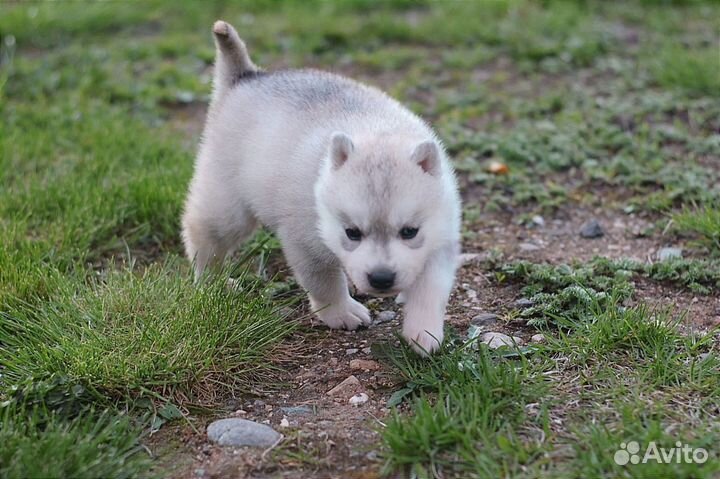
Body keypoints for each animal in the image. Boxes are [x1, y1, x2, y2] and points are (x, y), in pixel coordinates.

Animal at [181, 20, 462, 354]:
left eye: (409, 231)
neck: (378, 131)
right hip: (228, 207)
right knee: (204, 238)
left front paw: (423, 332)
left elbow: (430, 289)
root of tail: (247, 76)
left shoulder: (440, 239)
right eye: (351, 233)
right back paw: (212, 283)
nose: (381, 278)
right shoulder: (305, 241)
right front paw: (341, 312)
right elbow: (324, 281)